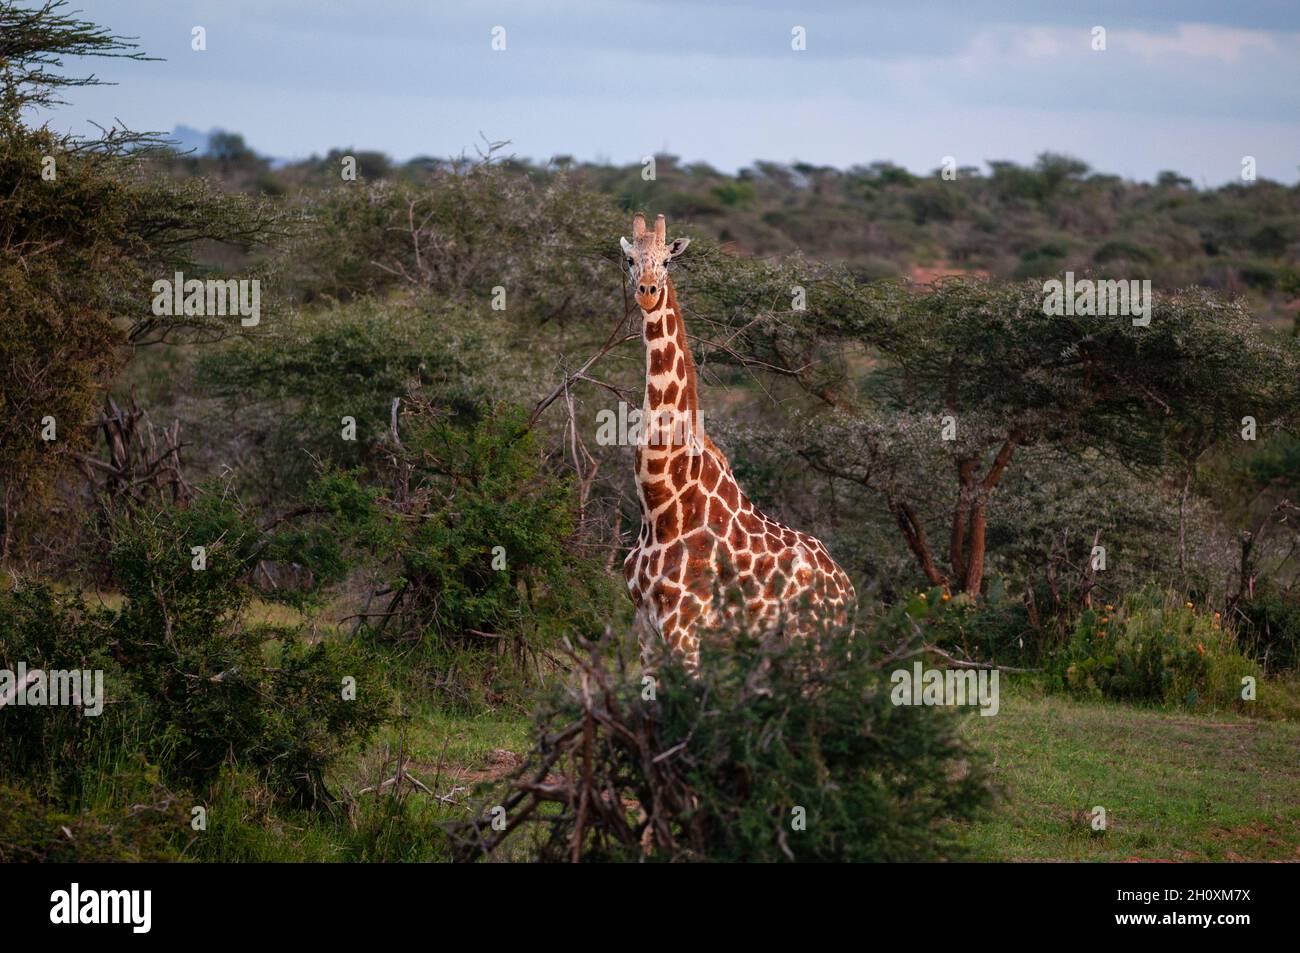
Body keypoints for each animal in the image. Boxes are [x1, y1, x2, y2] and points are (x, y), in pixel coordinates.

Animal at [616, 210, 852, 665]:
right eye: (630, 259)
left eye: (667, 261)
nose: (647, 293)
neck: (661, 506)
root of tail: (850, 592)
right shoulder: (646, 629)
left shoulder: (685, 629)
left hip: (815, 643)